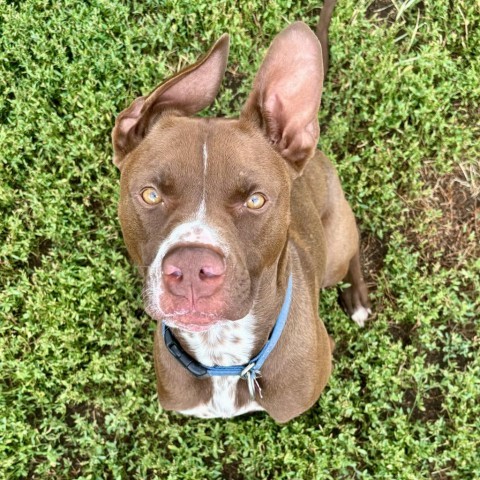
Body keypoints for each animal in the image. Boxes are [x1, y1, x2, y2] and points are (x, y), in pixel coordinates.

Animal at [111, 1, 372, 424]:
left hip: (336, 246)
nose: (191, 270)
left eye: (255, 201)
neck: (222, 356)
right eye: (150, 195)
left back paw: (359, 301)